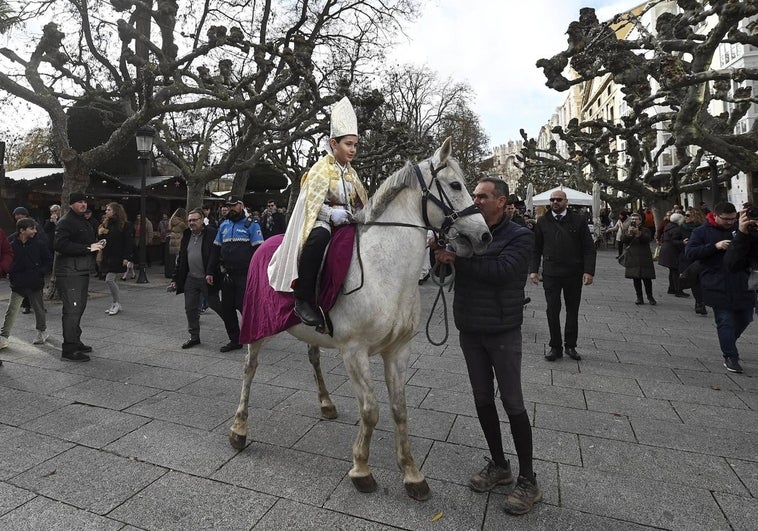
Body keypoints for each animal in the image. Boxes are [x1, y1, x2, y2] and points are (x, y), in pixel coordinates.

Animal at [230, 138, 492, 502]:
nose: (484, 237)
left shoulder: (397, 351)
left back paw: (326, 404)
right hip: (259, 327)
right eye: (455, 185)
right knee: (249, 369)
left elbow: (399, 410)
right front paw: (361, 470)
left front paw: (412, 474)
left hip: (310, 332)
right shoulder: (354, 351)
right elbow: (370, 410)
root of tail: (266, 243)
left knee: (312, 357)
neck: (386, 271)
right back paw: (239, 429)